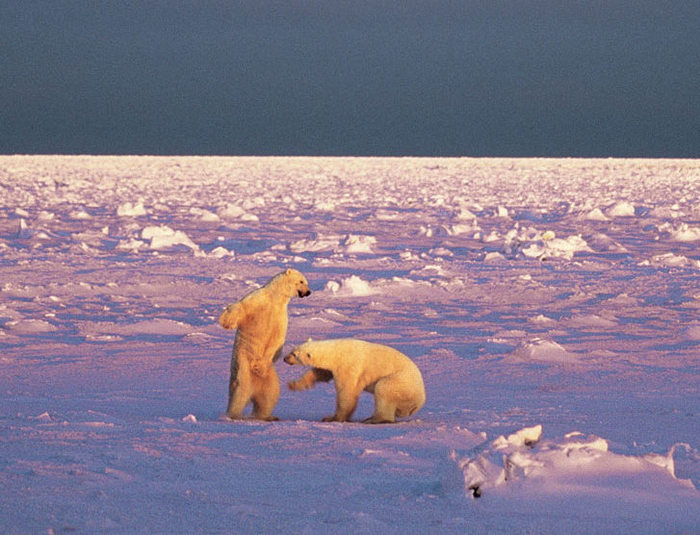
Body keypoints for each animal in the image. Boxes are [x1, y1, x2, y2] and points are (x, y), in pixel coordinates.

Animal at [217, 270, 308, 420]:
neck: (276, 298)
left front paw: (259, 366)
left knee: (270, 394)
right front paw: (226, 321)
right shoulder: (259, 299)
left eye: (306, 282)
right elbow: (242, 306)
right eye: (301, 281)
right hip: (242, 363)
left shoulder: (281, 315)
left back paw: (266, 416)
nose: (308, 292)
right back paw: (234, 415)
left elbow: (277, 340)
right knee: (240, 387)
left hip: (269, 376)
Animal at [284, 340, 426, 422]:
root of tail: (420, 401)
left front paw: (333, 418)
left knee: (383, 389)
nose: (285, 359)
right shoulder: (332, 367)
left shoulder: (348, 366)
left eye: (294, 355)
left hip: (401, 383)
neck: (336, 352)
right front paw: (293, 385)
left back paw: (375, 419)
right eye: (292, 350)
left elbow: (346, 393)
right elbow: (321, 373)